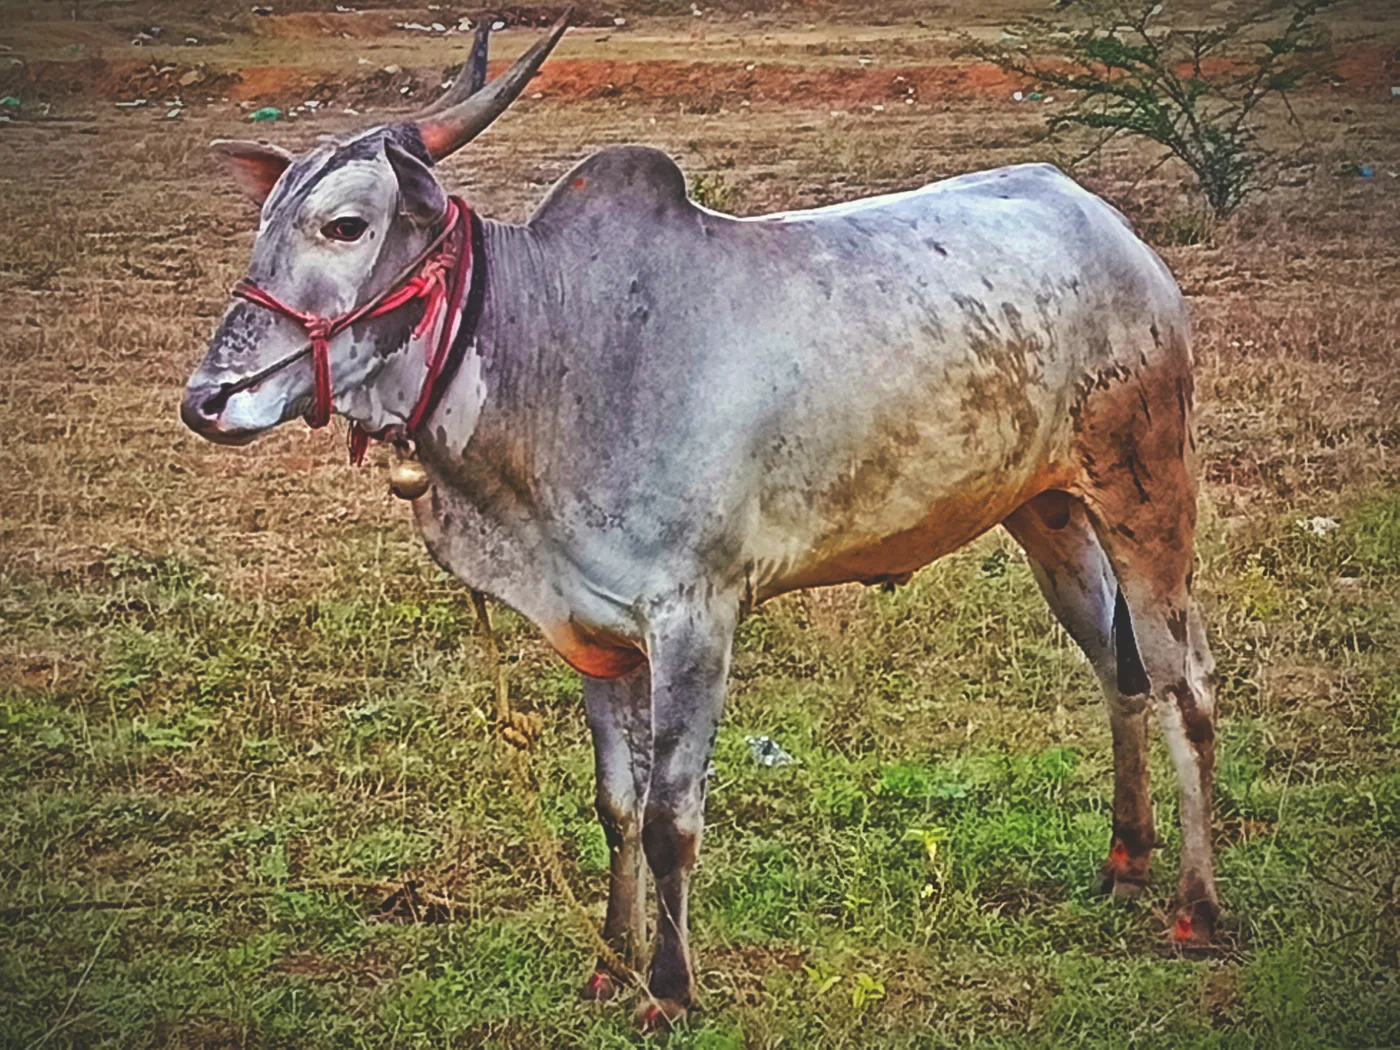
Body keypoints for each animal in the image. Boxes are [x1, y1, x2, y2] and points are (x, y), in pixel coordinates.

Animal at [181, 15, 1220, 1030]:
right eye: (262, 224)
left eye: (344, 225)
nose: (207, 399)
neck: (556, 346)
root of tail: (1102, 219)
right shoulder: (595, 632)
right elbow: (614, 804)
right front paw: (612, 964)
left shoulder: (695, 616)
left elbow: (668, 817)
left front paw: (670, 988)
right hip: (1048, 512)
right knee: (1118, 672)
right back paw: (1126, 860)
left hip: (1148, 490)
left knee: (1185, 685)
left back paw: (1197, 910)